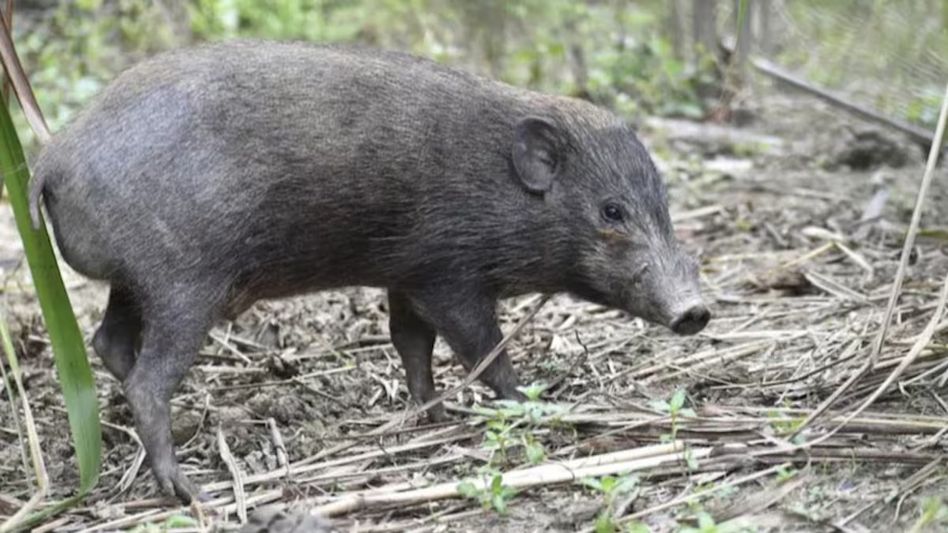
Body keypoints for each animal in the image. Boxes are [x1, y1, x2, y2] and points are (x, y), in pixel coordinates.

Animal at [29, 40, 709, 502]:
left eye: (663, 203)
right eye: (612, 210)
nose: (696, 310)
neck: (499, 185)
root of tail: (53, 157)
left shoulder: (409, 275)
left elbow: (410, 344)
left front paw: (435, 416)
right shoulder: (450, 276)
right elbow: (481, 349)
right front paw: (530, 404)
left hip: (137, 281)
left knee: (109, 341)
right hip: (183, 284)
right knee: (146, 379)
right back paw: (193, 491)